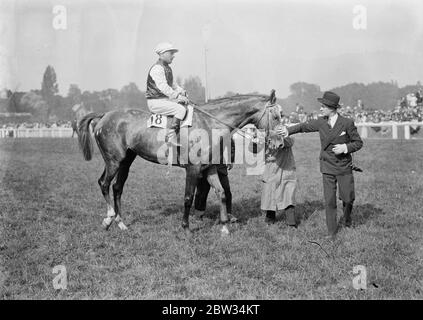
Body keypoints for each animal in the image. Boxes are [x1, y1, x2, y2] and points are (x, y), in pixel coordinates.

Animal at [77, 90, 282, 235]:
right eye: (276, 116)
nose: (280, 142)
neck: (208, 123)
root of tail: (104, 116)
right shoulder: (193, 169)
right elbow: (188, 198)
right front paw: (185, 227)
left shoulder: (209, 168)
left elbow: (222, 193)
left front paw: (224, 226)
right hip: (114, 160)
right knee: (104, 184)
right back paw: (109, 218)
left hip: (126, 161)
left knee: (117, 187)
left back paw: (120, 223)